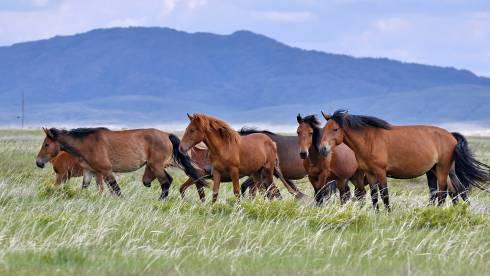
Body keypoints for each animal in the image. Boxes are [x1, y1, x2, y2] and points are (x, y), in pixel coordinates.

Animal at [35, 126, 205, 199]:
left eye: (46, 144)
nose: (38, 162)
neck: (87, 143)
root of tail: (166, 135)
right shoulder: (89, 172)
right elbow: (85, 187)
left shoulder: (105, 170)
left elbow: (116, 189)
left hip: (156, 166)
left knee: (166, 182)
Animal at [318, 109, 490, 210]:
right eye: (324, 129)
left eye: (335, 129)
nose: (322, 149)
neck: (369, 140)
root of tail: (451, 136)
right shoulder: (370, 174)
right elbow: (374, 196)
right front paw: (376, 214)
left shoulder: (381, 173)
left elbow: (384, 195)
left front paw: (387, 214)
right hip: (443, 170)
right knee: (458, 189)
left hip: (442, 169)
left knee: (443, 192)